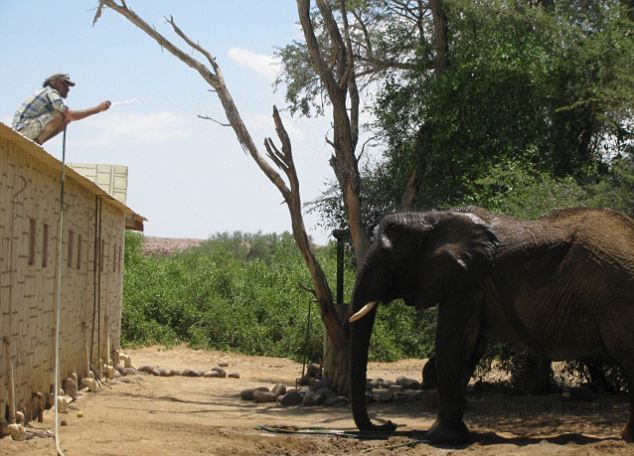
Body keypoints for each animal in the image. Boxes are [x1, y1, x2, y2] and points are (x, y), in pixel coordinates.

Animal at [348, 207, 632, 442]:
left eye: (389, 259)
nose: (388, 424)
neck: (433, 217)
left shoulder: (464, 283)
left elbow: (451, 343)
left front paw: (440, 438)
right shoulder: (473, 284)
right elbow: (469, 347)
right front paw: (453, 433)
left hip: (615, 289)